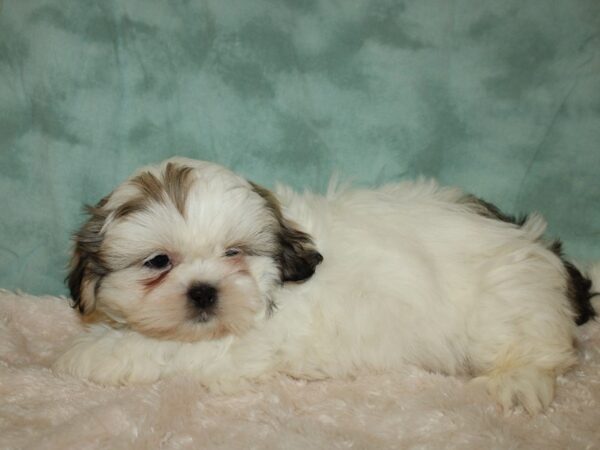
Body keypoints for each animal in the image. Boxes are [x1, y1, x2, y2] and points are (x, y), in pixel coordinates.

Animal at [54, 157, 596, 414]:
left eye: (234, 253)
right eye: (158, 261)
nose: (204, 291)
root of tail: (541, 247)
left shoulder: (244, 344)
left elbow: (165, 349)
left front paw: (94, 352)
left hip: (504, 306)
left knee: (537, 349)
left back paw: (519, 382)